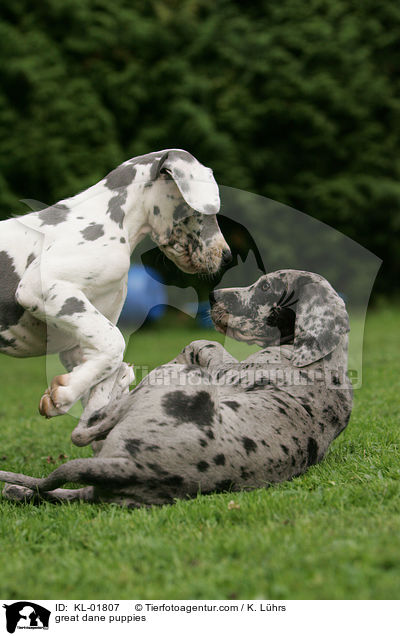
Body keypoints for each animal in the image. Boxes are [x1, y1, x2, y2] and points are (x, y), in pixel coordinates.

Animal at [0, 149, 231, 422]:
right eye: (209, 209)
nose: (227, 256)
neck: (114, 222)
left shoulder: (82, 342)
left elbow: (107, 377)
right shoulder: (43, 286)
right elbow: (115, 343)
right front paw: (64, 394)